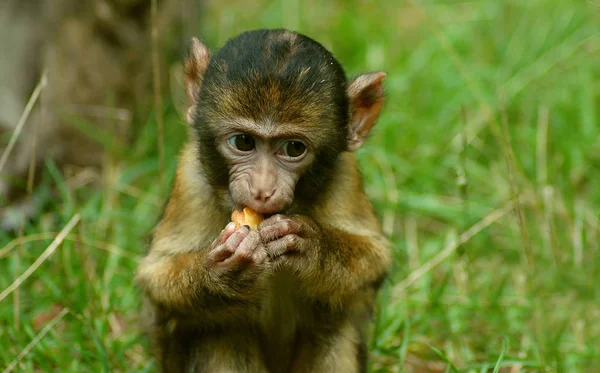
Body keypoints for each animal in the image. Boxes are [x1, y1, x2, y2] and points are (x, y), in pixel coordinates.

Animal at [134, 29, 392, 372]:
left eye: (294, 148)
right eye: (243, 142)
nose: (262, 189)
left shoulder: (345, 175)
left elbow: (376, 255)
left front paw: (311, 246)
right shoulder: (190, 179)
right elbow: (155, 276)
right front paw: (226, 273)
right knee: (222, 331)